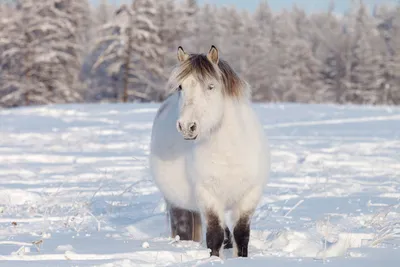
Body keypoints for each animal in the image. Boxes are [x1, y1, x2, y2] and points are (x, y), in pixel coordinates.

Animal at [148, 45, 270, 258]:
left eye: (211, 86)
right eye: (181, 87)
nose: (187, 126)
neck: (228, 153)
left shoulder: (250, 196)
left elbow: (241, 235)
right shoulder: (208, 196)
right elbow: (214, 236)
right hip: (177, 203)